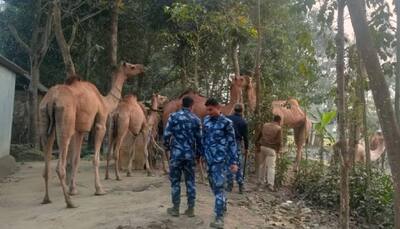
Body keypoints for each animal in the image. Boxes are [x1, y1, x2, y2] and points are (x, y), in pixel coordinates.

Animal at [38, 61, 144, 208]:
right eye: (131, 66)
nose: (142, 68)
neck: (105, 101)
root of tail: (51, 100)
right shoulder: (100, 123)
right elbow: (96, 158)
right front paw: (99, 189)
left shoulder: (80, 130)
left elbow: (76, 160)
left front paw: (73, 190)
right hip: (65, 120)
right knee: (60, 165)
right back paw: (70, 203)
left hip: (44, 119)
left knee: (46, 160)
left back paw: (46, 199)